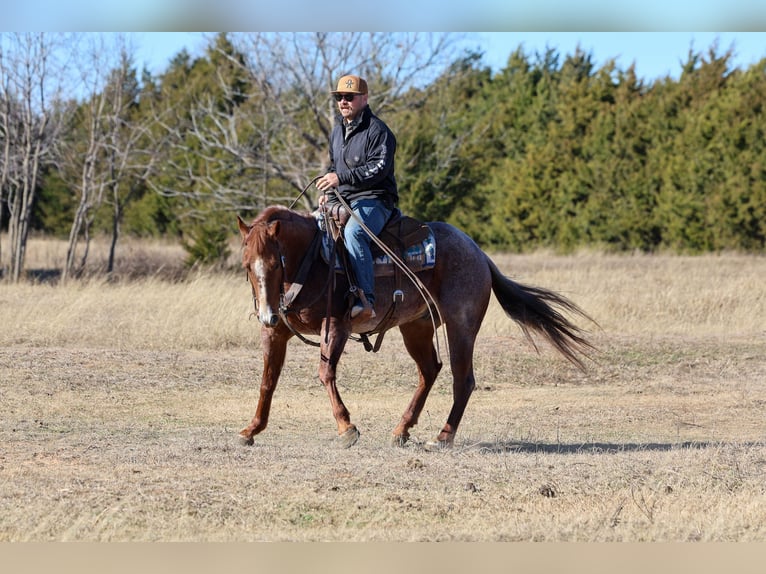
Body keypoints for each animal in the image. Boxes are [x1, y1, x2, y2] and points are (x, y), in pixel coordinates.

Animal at [236, 204, 595, 450]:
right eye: (247, 265)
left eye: (276, 262)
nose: (266, 314)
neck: (314, 261)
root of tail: (478, 252)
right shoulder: (275, 332)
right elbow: (268, 381)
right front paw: (251, 429)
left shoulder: (335, 326)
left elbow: (325, 374)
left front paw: (347, 428)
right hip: (416, 328)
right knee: (429, 370)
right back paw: (402, 429)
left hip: (461, 326)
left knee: (462, 380)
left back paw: (443, 436)